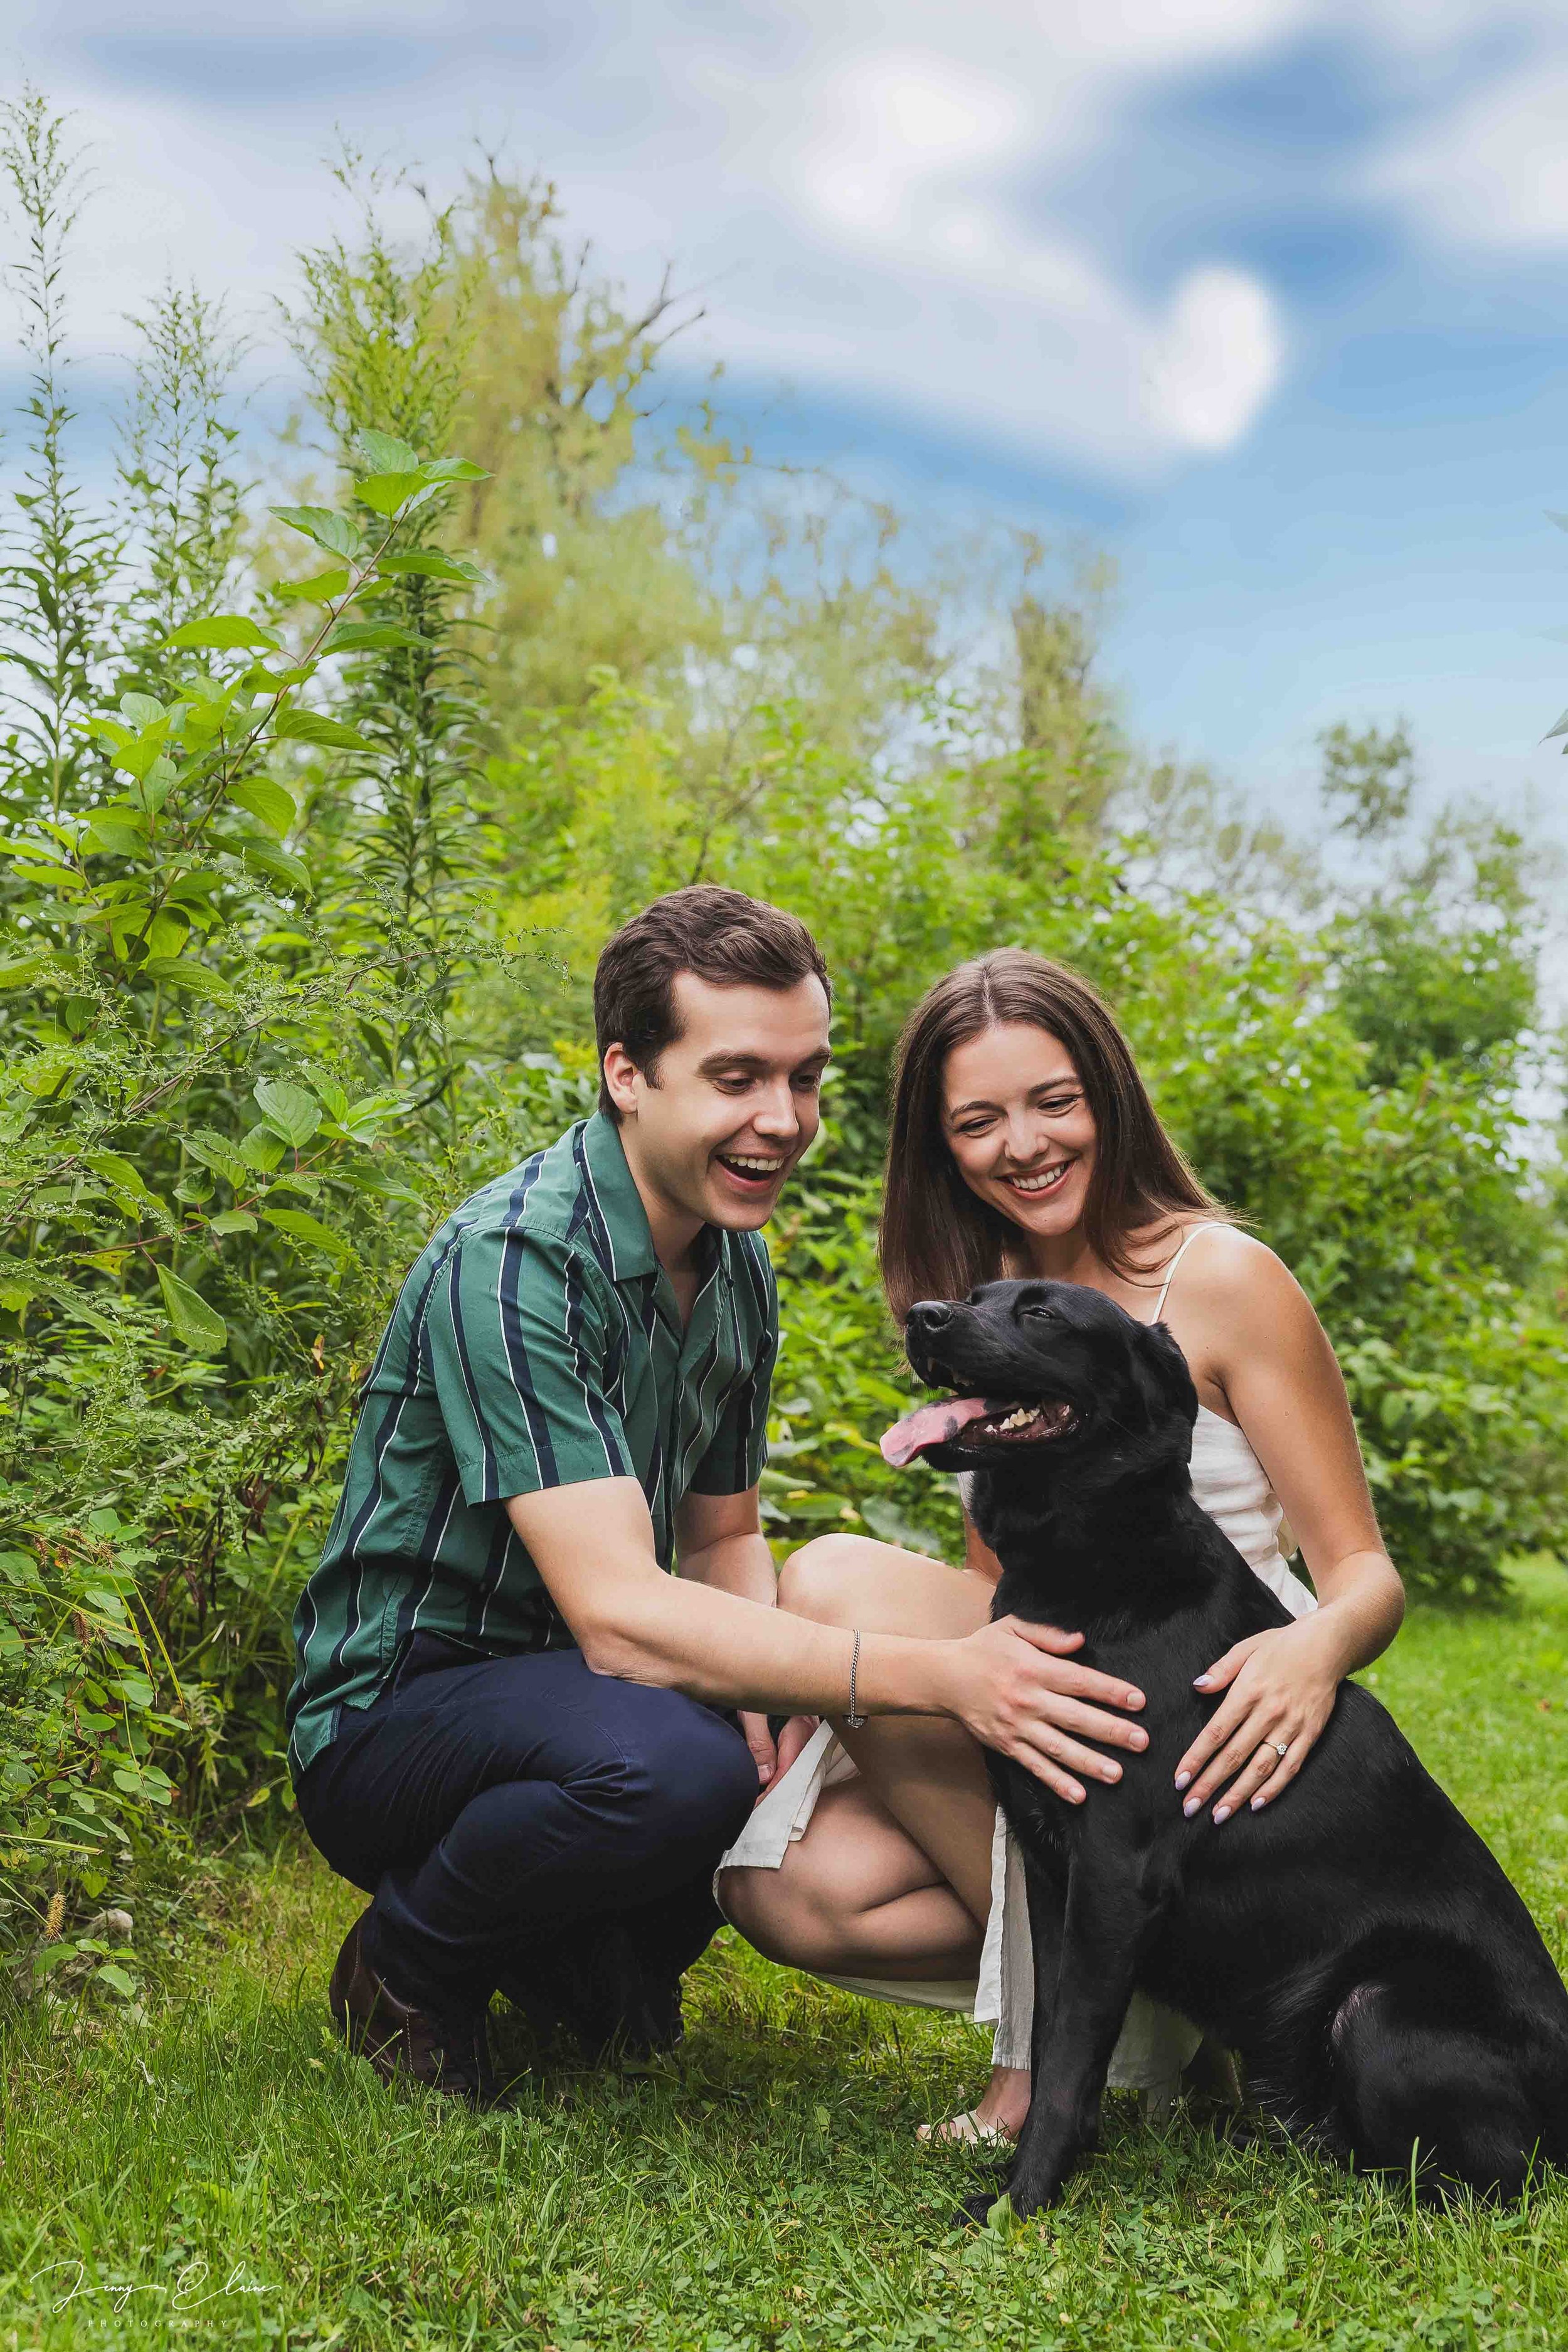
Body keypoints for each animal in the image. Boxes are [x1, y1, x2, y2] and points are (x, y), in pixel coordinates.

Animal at [893, 1279, 1568, 2211]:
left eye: (1043, 1313)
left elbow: (1068, 2057)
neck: (1092, 1559)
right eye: (973, 1295)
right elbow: (1054, 2029)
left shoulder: (1114, 1871)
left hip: (1378, 2004)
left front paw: (1018, 2202)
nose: (921, 1317)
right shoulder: (1050, 1865)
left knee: (1492, 2187)